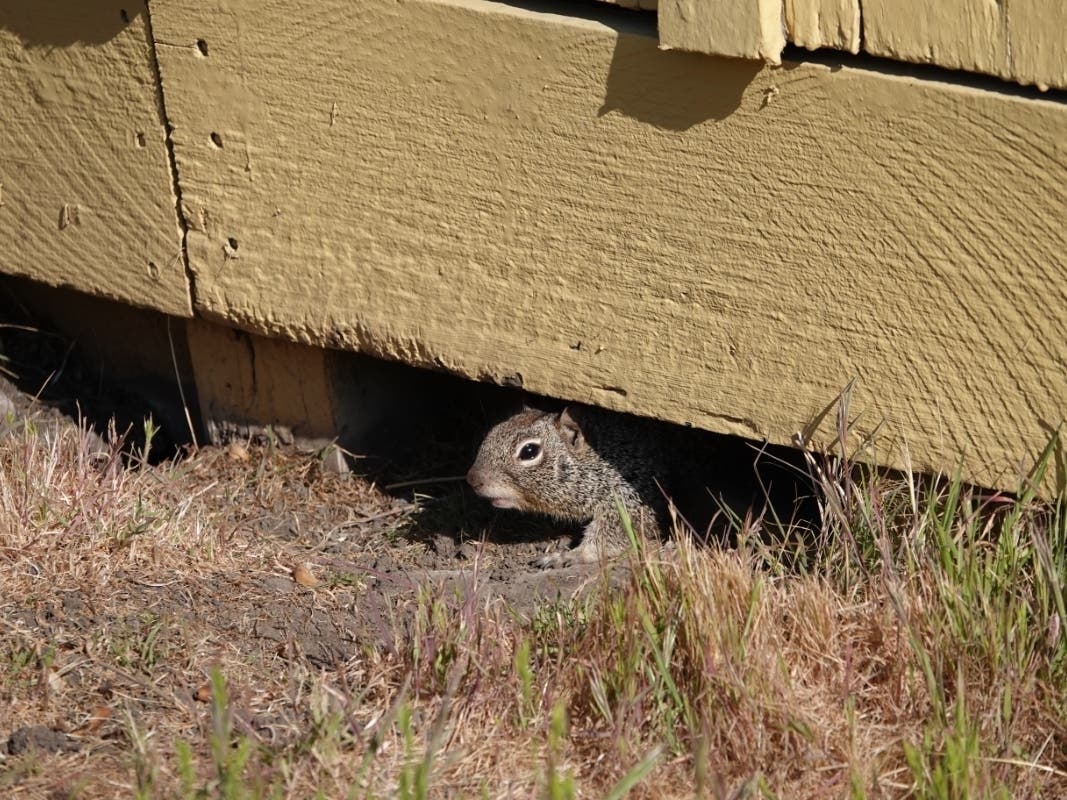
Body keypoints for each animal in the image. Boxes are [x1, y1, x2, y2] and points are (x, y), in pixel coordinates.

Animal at [466, 405, 670, 568]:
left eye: (529, 451)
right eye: (493, 431)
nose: (472, 479)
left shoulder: (629, 498)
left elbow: (613, 535)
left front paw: (567, 556)